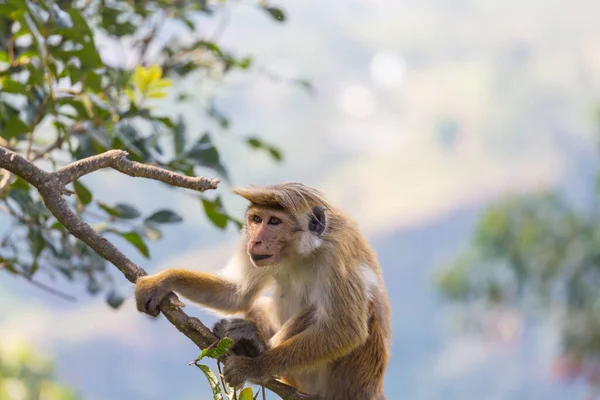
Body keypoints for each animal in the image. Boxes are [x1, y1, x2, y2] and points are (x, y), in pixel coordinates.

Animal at [134, 182, 392, 400]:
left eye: (275, 222)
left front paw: (255, 367)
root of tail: (372, 389)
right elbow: (236, 294)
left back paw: (255, 346)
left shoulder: (336, 254)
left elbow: (346, 329)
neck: (301, 252)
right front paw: (163, 280)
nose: (255, 241)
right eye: (257, 219)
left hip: (347, 375)